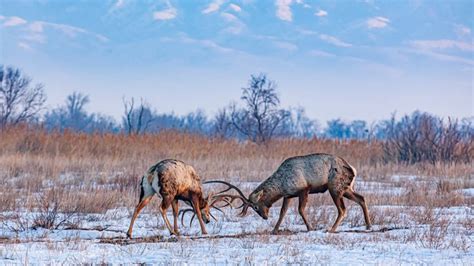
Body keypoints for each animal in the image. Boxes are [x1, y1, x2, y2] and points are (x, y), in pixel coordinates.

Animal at [206, 153, 372, 234]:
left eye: (255, 206)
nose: (265, 217)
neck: (281, 185)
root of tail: (352, 169)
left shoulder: (304, 189)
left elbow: (300, 210)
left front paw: (310, 228)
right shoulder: (288, 195)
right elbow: (283, 212)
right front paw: (274, 230)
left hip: (335, 188)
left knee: (342, 209)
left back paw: (331, 229)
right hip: (346, 188)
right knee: (361, 198)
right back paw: (368, 225)